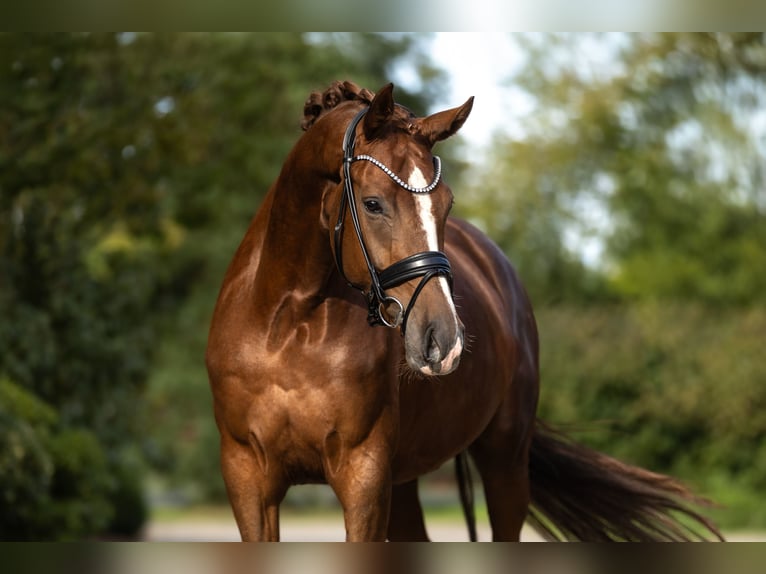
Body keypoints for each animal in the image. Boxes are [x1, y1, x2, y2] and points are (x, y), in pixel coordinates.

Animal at [205, 80, 723, 541]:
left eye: (446, 203)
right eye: (372, 204)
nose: (443, 340)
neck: (289, 324)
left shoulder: (363, 476)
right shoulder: (248, 479)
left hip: (504, 463)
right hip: (407, 480)